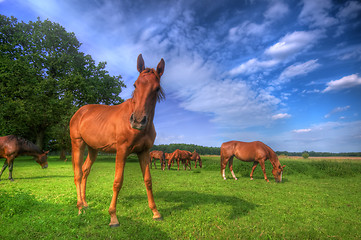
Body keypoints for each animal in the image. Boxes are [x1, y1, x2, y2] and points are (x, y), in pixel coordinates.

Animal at [69, 54, 165, 227]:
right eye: (135, 84)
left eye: (157, 88)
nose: (137, 121)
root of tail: (80, 112)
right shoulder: (122, 151)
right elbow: (117, 182)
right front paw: (113, 217)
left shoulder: (144, 152)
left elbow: (148, 181)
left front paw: (155, 212)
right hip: (77, 144)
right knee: (78, 174)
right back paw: (79, 208)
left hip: (93, 149)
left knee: (85, 171)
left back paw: (85, 204)